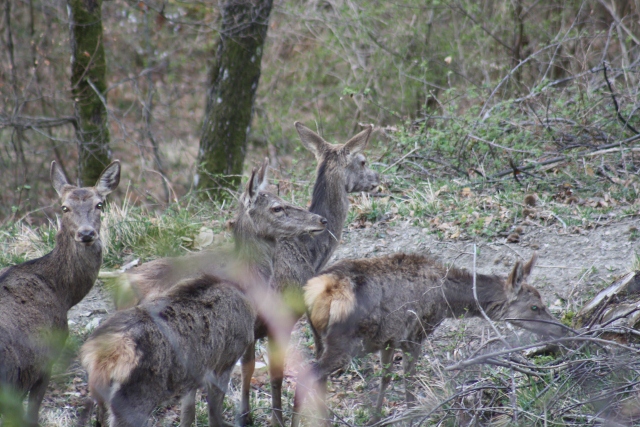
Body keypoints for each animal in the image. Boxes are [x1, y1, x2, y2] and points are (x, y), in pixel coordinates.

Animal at [81, 160, 324, 427]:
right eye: (277, 207)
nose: (320, 219)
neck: (246, 287)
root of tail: (100, 360)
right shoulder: (224, 359)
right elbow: (215, 415)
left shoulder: (196, 373)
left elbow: (188, 414)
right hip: (135, 399)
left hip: (102, 399)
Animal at [292, 252, 568, 426]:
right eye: (535, 307)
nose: (562, 329)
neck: (446, 300)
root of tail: (319, 290)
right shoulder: (416, 332)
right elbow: (409, 381)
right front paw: (412, 417)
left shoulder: (389, 339)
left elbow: (385, 378)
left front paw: (375, 418)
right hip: (343, 343)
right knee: (307, 376)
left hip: (320, 340)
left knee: (318, 379)